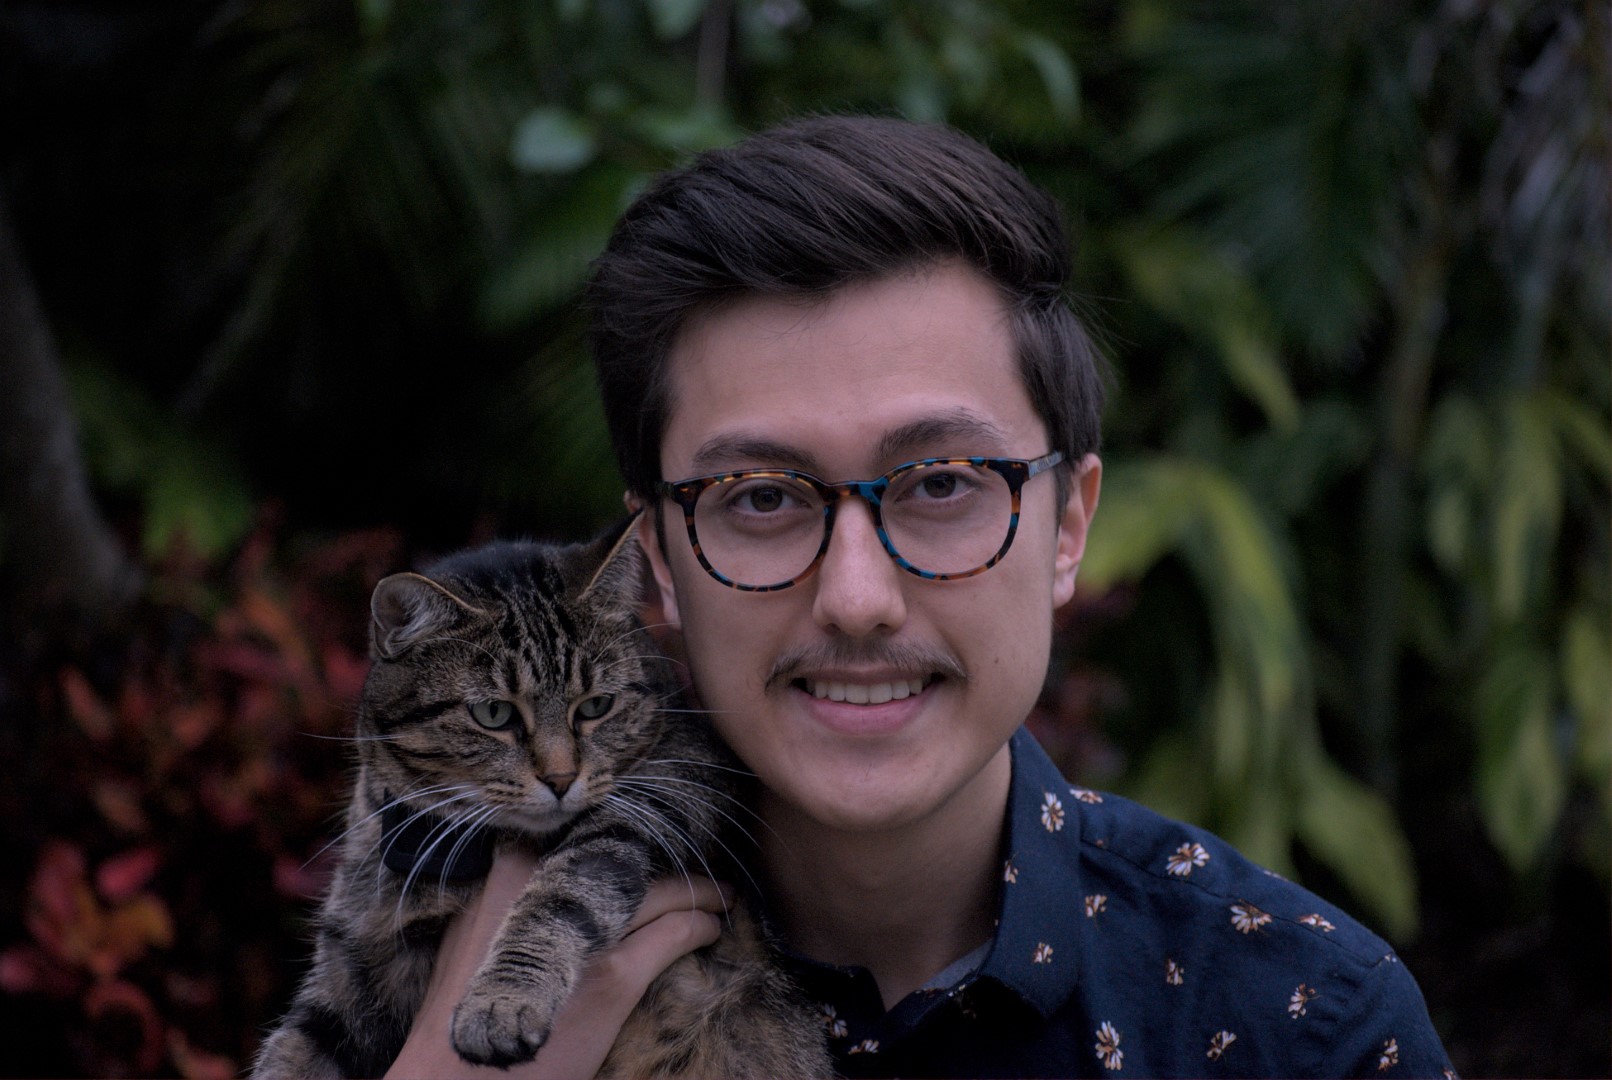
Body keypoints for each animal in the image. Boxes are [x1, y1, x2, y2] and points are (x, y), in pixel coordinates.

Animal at [254, 522, 831, 1076]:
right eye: (493, 714)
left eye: (596, 706)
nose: (560, 778)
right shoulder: (346, 966)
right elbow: (290, 1051)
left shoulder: (670, 794)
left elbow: (560, 897)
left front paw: (500, 1005)